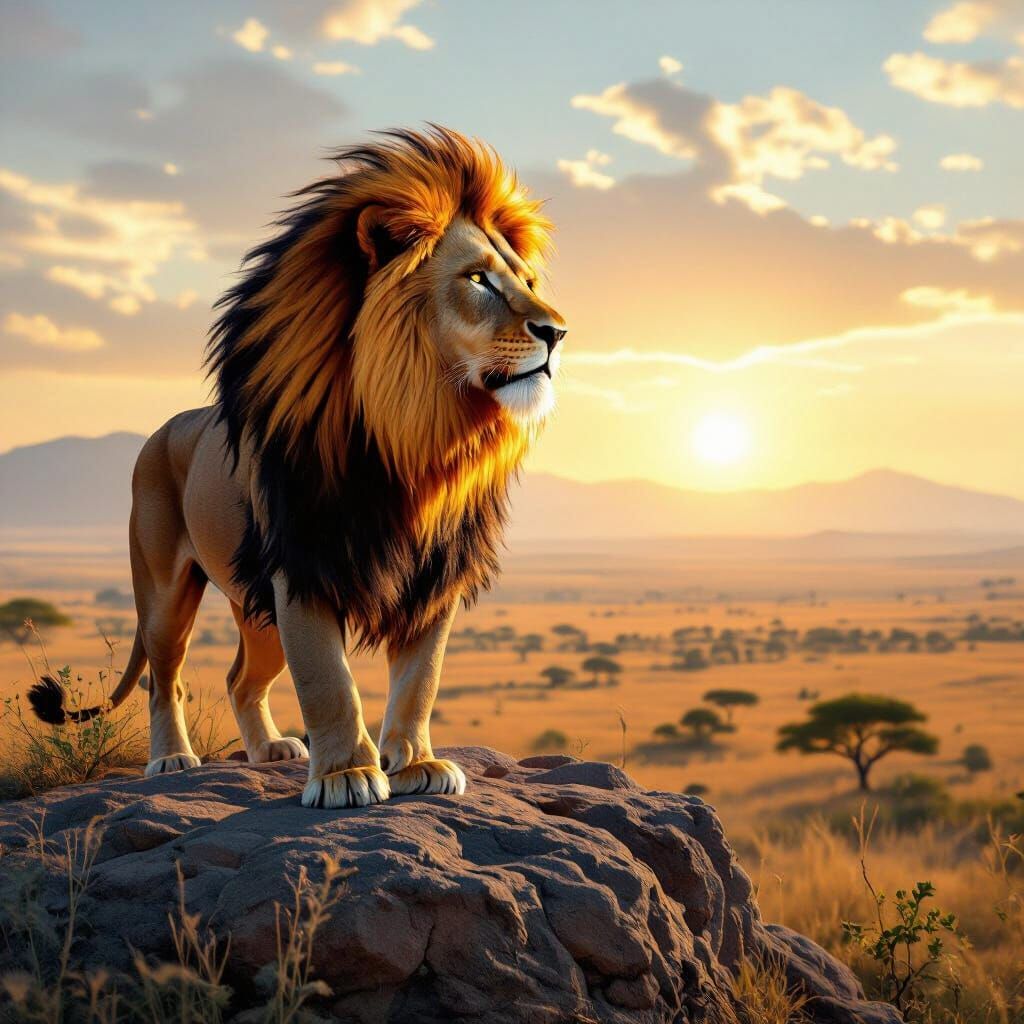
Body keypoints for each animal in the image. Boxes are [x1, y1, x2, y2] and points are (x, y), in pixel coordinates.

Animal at [29, 127, 566, 809]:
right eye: (478, 280)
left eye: (527, 280)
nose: (557, 332)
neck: (415, 438)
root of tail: (163, 428)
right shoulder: (303, 566)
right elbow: (328, 681)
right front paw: (344, 776)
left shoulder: (433, 575)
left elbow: (421, 679)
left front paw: (418, 763)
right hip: (164, 592)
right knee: (164, 678)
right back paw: (172, 759)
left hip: (254, 608)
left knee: (239, 678)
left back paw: (269, 750)